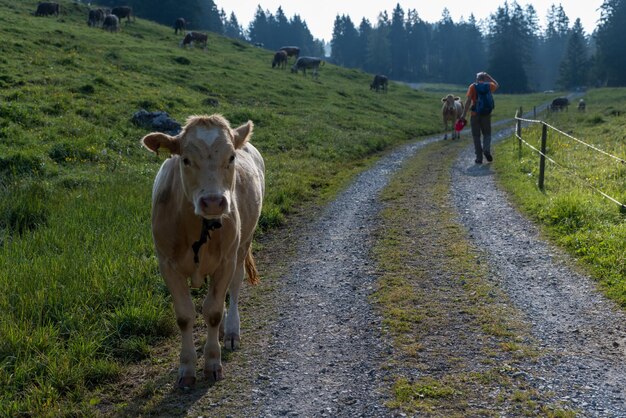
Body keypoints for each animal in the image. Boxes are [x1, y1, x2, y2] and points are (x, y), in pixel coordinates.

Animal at [140, 115, 264, 388]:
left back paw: (230, 332)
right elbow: (185, 315)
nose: (214, 202)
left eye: (231, 157)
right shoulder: (167, 264)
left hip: (243, 245)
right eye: (185, 159)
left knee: (234, 287)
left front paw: (212, 363)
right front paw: (186, 368)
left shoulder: (226, 260)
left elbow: (214, 311)